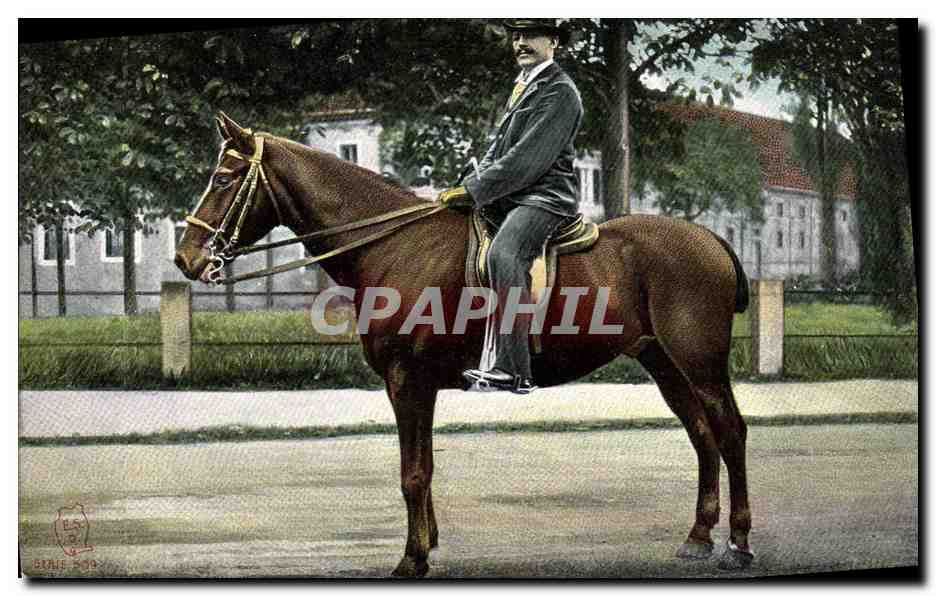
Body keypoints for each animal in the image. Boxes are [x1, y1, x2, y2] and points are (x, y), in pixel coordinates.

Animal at [175, 112, 755, 577]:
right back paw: (698, 537)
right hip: (664, 362)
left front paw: (412, 559)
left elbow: (413, 473)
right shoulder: (418, 385)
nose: (185, 257)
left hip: (699, 361)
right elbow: (424, 468)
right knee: (702, 433)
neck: (395, 245)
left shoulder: (407, 381)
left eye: (223, 177)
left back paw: (739, 543)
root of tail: (710, 239)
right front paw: (426, 544)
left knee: (729, 431)